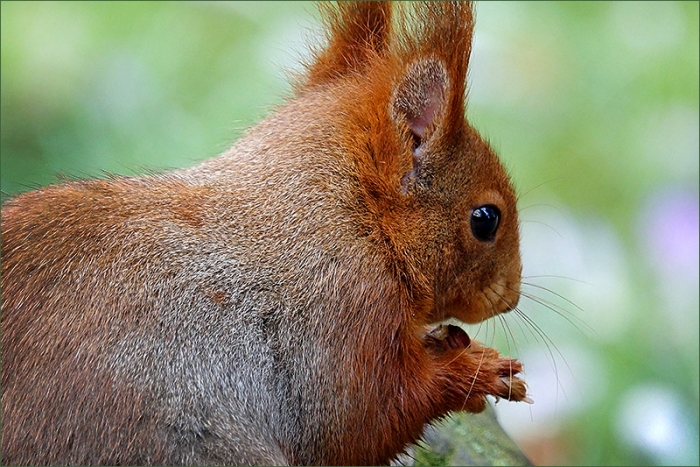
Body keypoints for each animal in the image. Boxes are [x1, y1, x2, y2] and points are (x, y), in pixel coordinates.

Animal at [1, 2, 529, 465]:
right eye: (485, 219)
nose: (511, 295)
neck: (352, 217)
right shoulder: (340, 311)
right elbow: (358, 423)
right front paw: (478, 370)